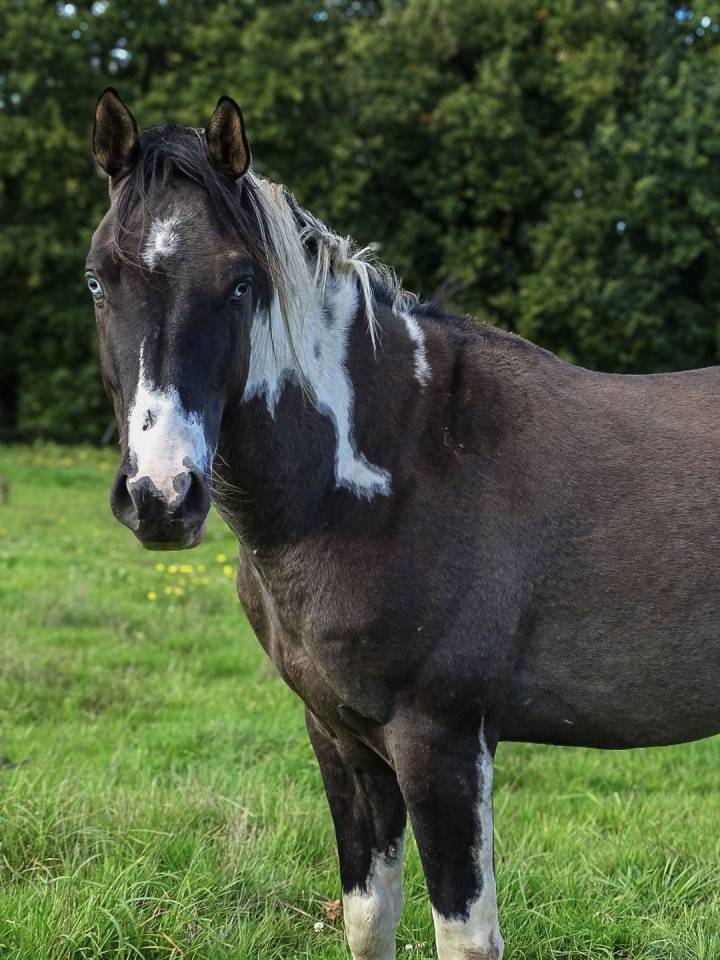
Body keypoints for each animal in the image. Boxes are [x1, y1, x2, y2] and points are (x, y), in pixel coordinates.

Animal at [87, 87, 720, 960]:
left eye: (242, 283)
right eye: (97, 280)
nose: (161, 493)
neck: (404, 459)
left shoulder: (442, 742)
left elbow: (464, 934)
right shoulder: (339, 737)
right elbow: (367, 916)